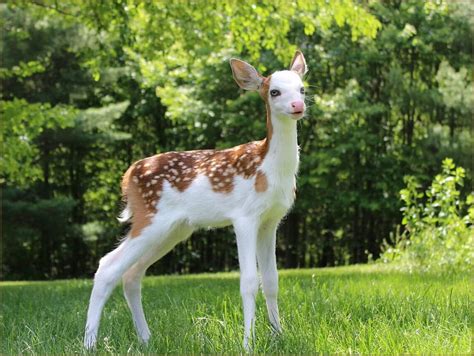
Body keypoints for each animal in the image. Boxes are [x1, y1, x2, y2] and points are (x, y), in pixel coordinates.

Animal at [84, 50, 310, 350]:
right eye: (274, 91)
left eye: (302, 88)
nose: (298, 105)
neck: (269, 168)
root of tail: (128, 174)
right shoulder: (245, 216)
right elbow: (249, 281)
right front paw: (248, 344)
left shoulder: (271, 221)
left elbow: (272, 280)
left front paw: (278, 335)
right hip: (150, 217)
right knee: (107, 267)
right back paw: (89, 343)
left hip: (174, 229)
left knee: (131, 274)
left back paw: (146, 339)